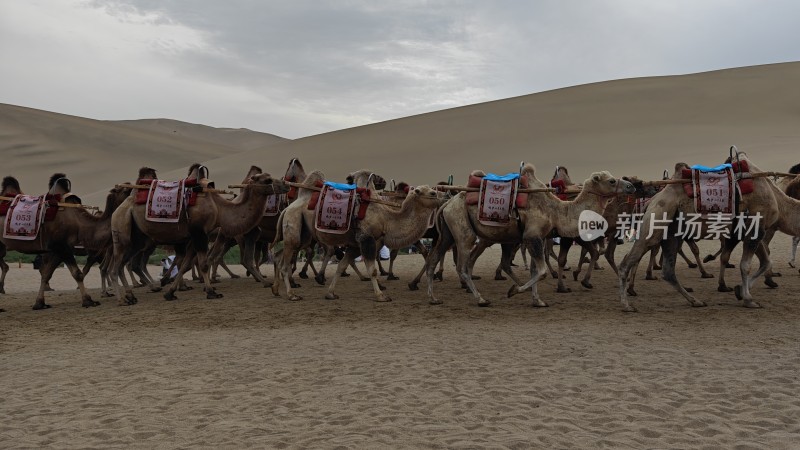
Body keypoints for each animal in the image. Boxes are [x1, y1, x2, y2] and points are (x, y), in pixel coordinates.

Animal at [106, 164, 282, 306]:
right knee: (115, 267)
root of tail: (117, 210)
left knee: (123, 264)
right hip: (121, 233)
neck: (219, 208)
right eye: (267, 180)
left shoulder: (194, 236)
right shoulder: (199, 233)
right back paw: (122, 300)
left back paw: (131, 296)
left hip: (137, 239)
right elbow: (202, 263)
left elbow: (185, 264)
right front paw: (211, 292)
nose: (284, 184)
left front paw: (170, 293)